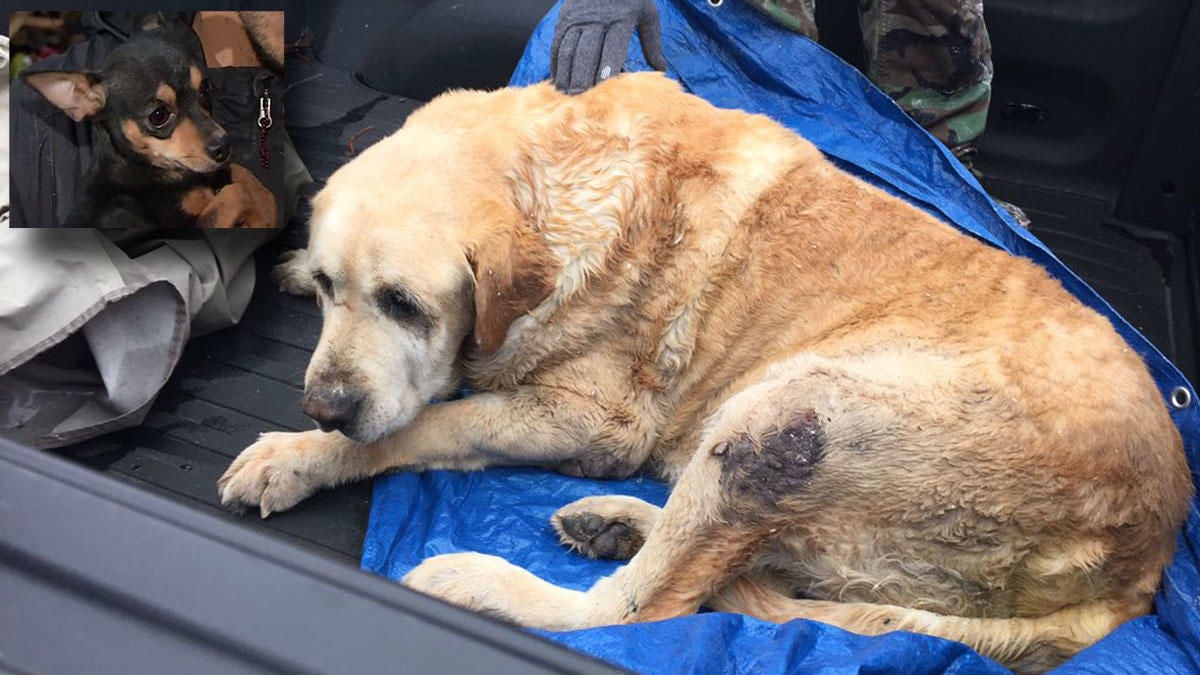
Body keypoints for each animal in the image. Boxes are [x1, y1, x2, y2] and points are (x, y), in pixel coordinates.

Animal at [218, 70, 1190, 667]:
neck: (556, 174)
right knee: (719, 564)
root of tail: (1151, 550)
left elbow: (420, 423)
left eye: (405, 303)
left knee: (633, 613)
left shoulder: (589, 417)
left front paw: (299, 453)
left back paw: (479, 580)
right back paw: (618, 523)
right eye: (328, 288)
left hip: (791, 416)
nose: (324, 403)